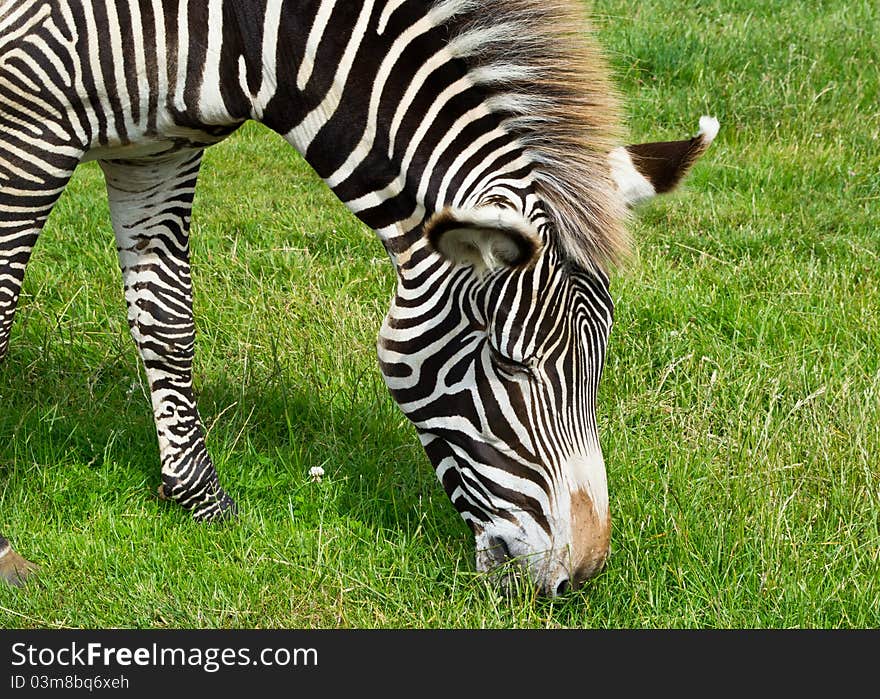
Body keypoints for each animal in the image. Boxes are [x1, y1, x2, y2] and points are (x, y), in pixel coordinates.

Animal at [0, 0, 716, 596]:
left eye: (601, 361)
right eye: (512, 365)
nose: (584, 574)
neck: (245, 30)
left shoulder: (158, 153)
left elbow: (167, 320)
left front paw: (201, 502)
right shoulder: (28, 123)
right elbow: (3, 314)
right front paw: (7, 551)